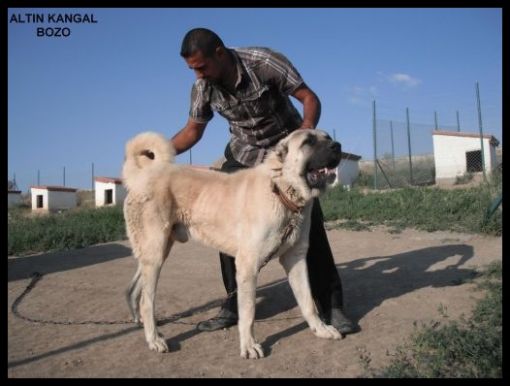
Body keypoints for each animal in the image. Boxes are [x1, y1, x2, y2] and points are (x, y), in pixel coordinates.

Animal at [124, 130, 344, 358]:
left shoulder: (295, 258)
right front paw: (248, 345)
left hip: (157, 252)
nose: (337, 146)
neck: (280, 188)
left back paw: (142, 322)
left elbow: (308, 302)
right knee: (146, 301)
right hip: (156, 252)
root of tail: (143, 175)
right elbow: (248, 313)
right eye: (308, 142)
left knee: (135, 290)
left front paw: (320, 329)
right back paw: (154, 339)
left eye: (328, 137)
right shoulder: (248, 265)